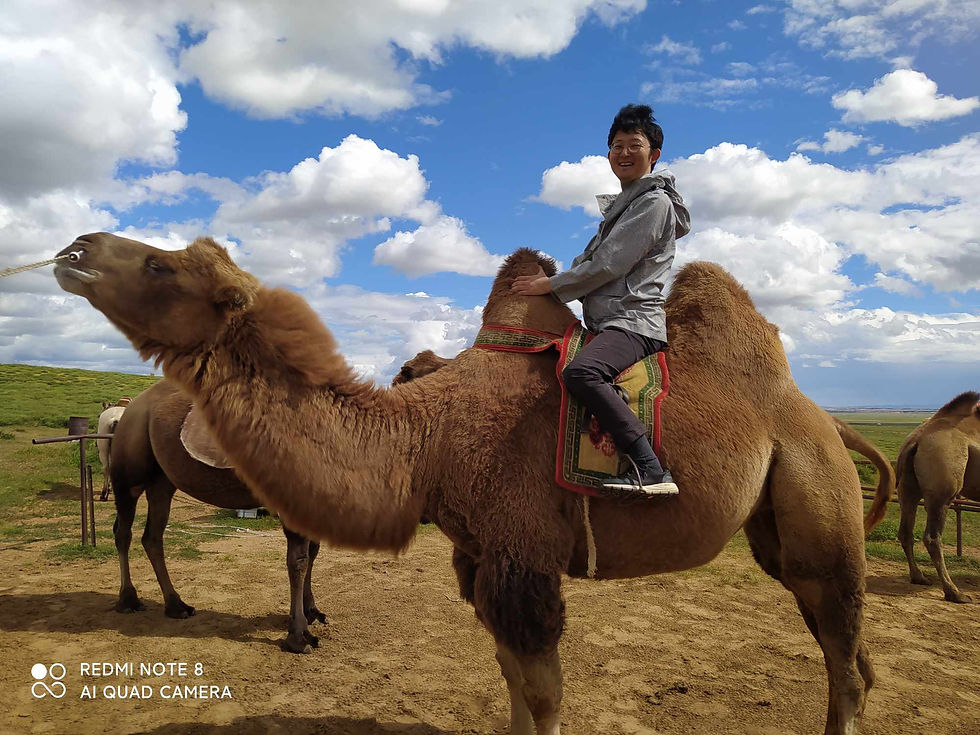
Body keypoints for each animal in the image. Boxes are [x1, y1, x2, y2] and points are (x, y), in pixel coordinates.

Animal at [106, 379, 327, 653]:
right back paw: (128, 600)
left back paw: (176, 606)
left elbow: (312, 554)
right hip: (129, 470)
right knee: (123, 531)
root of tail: (129, 408)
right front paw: (299, 636)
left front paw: (311, 612)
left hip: (162, 481)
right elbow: (298, 561)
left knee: (152, 536)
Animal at [896, 391, 980, 603]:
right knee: (932, 538)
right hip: (942, 492)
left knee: (906, 531)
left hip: (908, 489)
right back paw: (955, 592)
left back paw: (919, 577)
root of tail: (916, 439)